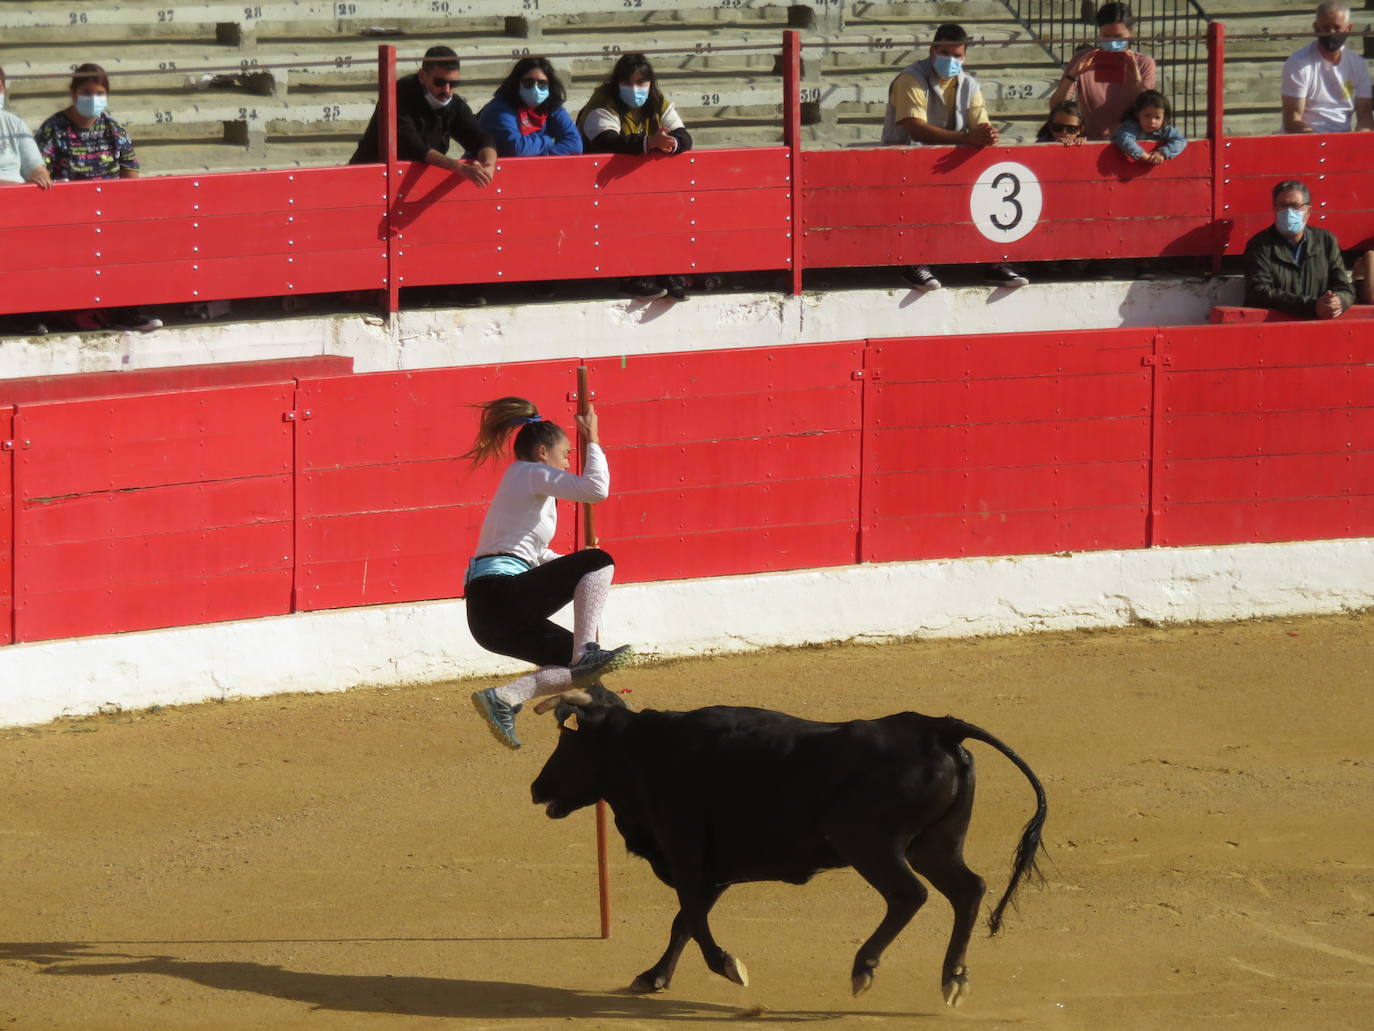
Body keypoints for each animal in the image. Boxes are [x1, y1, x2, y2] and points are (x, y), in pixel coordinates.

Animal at [530, 695, 1044, 1011]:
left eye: (567, 743)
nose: (536, 788)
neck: (646, 750)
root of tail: (937, 729)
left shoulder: (686, 854)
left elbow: (692, 917)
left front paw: (729, 966)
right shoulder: (714, 870)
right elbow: (684, 923)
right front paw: (653, 977)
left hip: (869, 844)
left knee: (909, 896)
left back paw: (864, 968)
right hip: (936, 845)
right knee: (968, 890)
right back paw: (953, 978)